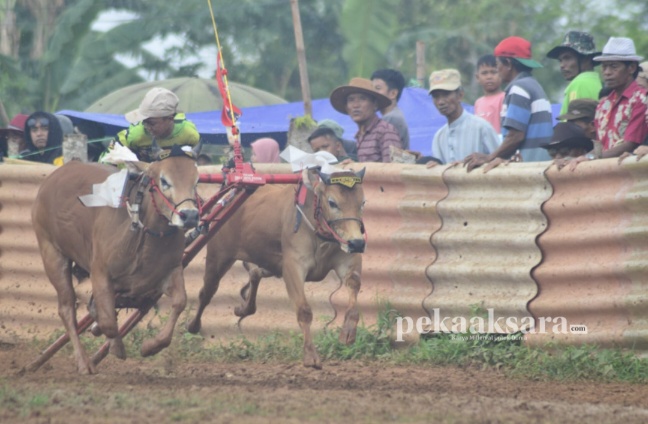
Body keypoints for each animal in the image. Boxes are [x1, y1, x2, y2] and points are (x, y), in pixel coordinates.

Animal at [29, 154, 200, 372]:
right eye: (164, 180)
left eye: (196, 182)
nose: (191, 215)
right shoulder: (100, 273)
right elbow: (108, 322)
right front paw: (116, 346)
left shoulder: (170, 271)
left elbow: (180, 302)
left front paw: (150, 347)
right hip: (52, 254)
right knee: (67, 309)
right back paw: (84, 363)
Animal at [190, 167, 368, 370]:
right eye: (332, 202)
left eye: (362, 202)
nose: (357, 243)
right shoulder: (292, 268)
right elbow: (304, 311)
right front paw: (310, 356)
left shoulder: (348, 259)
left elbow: (353, 293)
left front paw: (347, 333)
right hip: (218, 256)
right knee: (206, 292)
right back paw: (193, 326)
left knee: (254, 274)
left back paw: (243, 308)